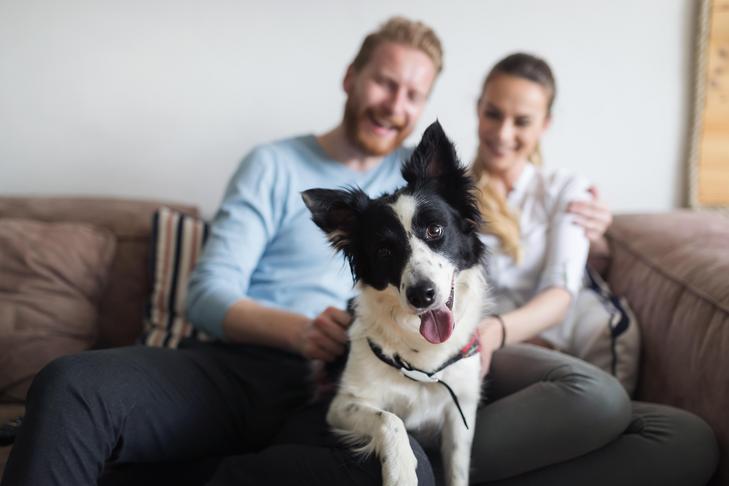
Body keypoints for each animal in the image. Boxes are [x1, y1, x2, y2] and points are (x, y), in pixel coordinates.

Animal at [302, 120, 490, 486]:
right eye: (384, 251)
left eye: (435, 230)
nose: (422, 294)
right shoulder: (342, 405)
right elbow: (391, 420)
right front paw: (401, 471)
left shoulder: (460, 410)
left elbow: (457, 468)